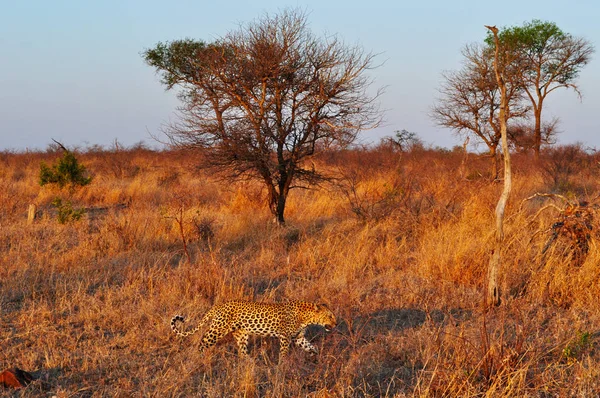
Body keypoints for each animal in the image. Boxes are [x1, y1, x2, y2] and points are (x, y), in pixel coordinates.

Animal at [171, 300, 336, 360]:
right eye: (329, 316)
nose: (335, 324)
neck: (307, 318)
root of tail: (217, 305)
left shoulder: (299, 337)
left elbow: (311, 346)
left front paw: (316, 356)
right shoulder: (285, 337)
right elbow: (283, 353)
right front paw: (282, 366)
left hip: (241, 335)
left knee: (243, 352)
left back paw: (250, 364)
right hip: (217, 330)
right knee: (202, 342)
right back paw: (197, 358)